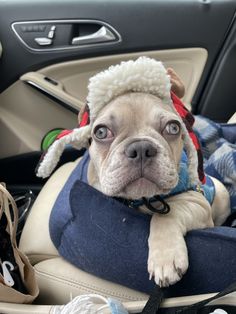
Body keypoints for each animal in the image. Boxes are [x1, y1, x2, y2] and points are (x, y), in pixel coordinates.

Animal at [37, 57, 230, 288]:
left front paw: (165, 258)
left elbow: (167, 214)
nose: (141, 148)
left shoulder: (197, 201)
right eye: (101, 132)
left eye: (173, 128)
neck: (142, 200)